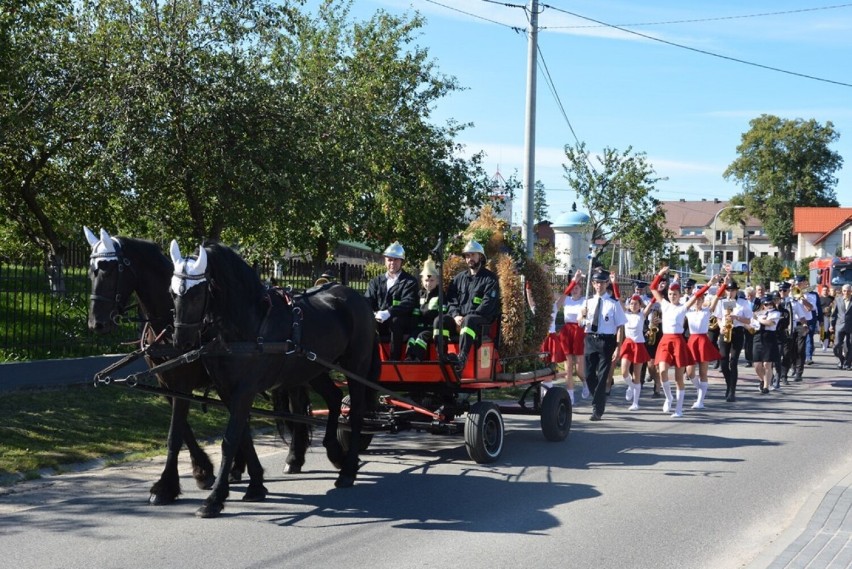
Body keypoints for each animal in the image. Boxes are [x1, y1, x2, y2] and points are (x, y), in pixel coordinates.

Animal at [82, 229, 310, 504]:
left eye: (109, 270)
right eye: (91, 271)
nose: (97, 324)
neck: (170, 322)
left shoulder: (185, 383)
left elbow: (176, 433)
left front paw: (168, 485)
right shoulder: (167, 384)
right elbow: (183, 431)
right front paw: (203, 471)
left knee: (298, 408)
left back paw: (293, 458)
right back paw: (242, 468)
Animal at [170, 240, 376, 520]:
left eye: (196, 293)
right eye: (172, 293)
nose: (181, 342)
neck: (247, 325)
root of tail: (357, 298)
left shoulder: (244, 390)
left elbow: (230, 441)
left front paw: (214, 499)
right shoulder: (227, 391)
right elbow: (242, 437)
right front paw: (255, 485)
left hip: (356, 366)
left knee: (355, 413)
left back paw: (348, 470)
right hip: (314, 368)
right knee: (334, 398)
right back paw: (333, 453)